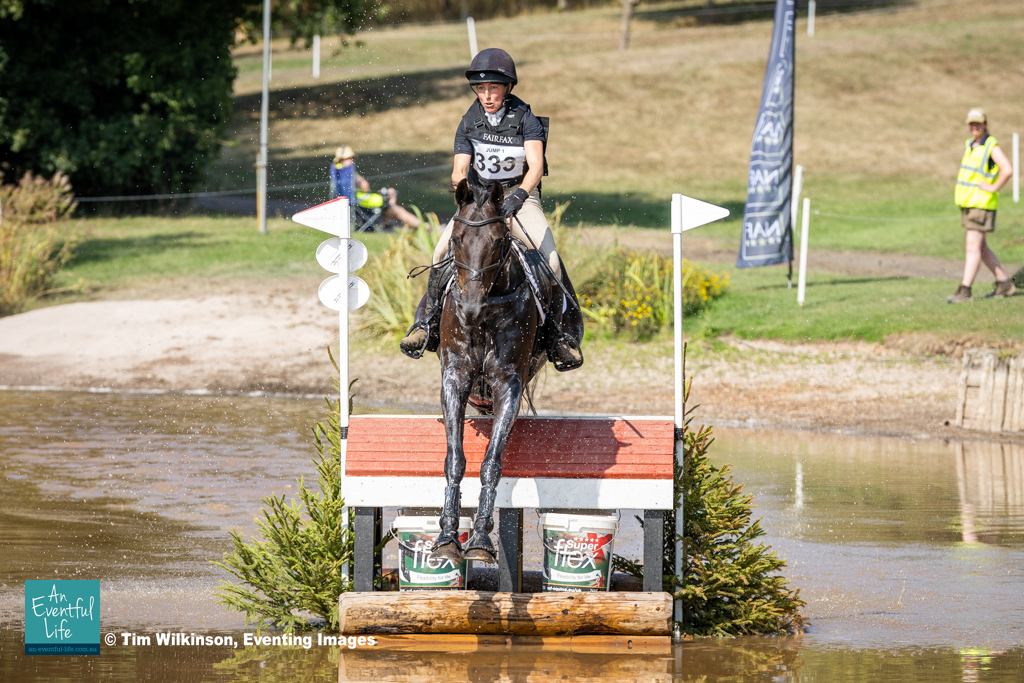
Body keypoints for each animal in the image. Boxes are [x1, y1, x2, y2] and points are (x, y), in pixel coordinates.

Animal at [431, 176, 549, 563]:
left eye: (498, 242)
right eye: (456, 239)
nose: (470, 309)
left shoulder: (508, 385)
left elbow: (491, 463)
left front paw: (481, 538)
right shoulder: (454, 379)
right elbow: (455, 459)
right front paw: (447, 535)